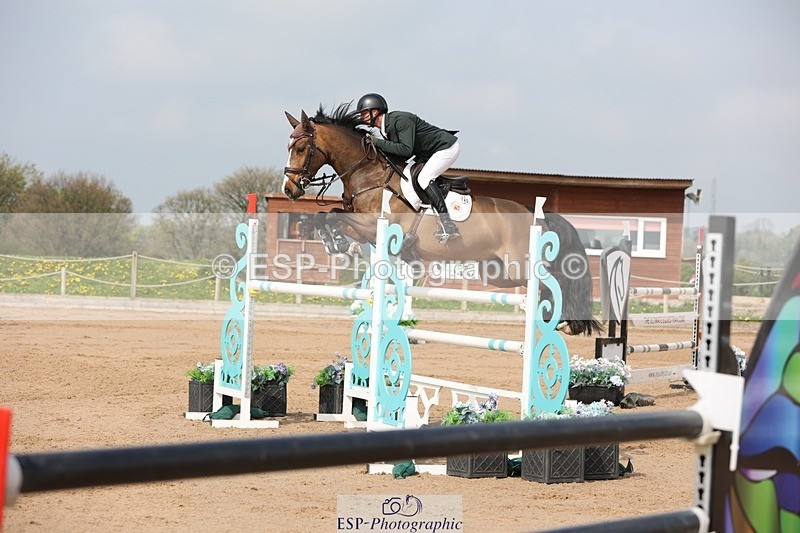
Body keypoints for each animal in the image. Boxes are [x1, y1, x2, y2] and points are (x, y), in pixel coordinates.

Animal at [282, 104, 602, 336]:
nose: (289, 189)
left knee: (556, 279)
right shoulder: (365, 230)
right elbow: (327, 216)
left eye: (301, 149)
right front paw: (336, 243)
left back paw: (568, 321)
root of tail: (533, 213)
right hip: (498, 273)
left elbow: (334, 215)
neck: (368, 174)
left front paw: (336, 242)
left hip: (521, 264)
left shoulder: (376, 225)